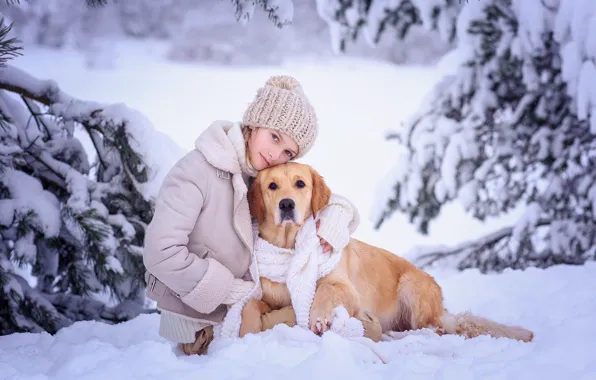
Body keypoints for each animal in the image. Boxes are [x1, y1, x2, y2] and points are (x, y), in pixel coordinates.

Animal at [242, 162, 536, 342]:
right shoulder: (268, 297)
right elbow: (250, 304)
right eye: (272, 186)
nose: (286, 204)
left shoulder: (349, 291)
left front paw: (319, 316)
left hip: (411, 286)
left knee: (435, 329)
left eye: (300, 184)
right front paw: (246, 330)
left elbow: (325, 288)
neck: (289, 248)